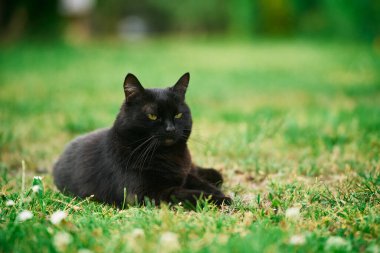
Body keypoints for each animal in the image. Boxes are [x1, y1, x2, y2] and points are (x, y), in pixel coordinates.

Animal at [53, 72, 232, 208]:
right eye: (152, 116)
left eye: (178, 115)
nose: (170, 129)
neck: (168, 156)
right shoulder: (146, 194)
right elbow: (186, 194)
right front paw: (221, 199)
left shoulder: (184, 175)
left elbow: (198, 182)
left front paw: (217, 192)